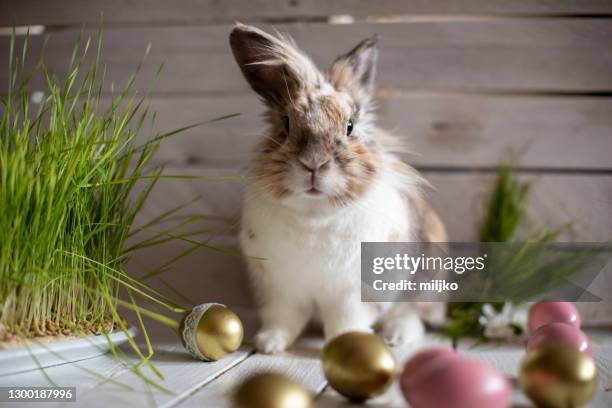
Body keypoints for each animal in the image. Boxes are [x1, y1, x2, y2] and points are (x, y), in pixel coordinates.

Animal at [228, 23, 444, 354]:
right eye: (286, 125)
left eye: (350, 126)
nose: (313, 164)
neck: (315, 214)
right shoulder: (281, 289)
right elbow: (283, 318)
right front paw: (269, 344)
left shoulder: (354, 294)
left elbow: (346, 321)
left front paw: (349, 346)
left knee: (411, 315)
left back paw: (396, 337)